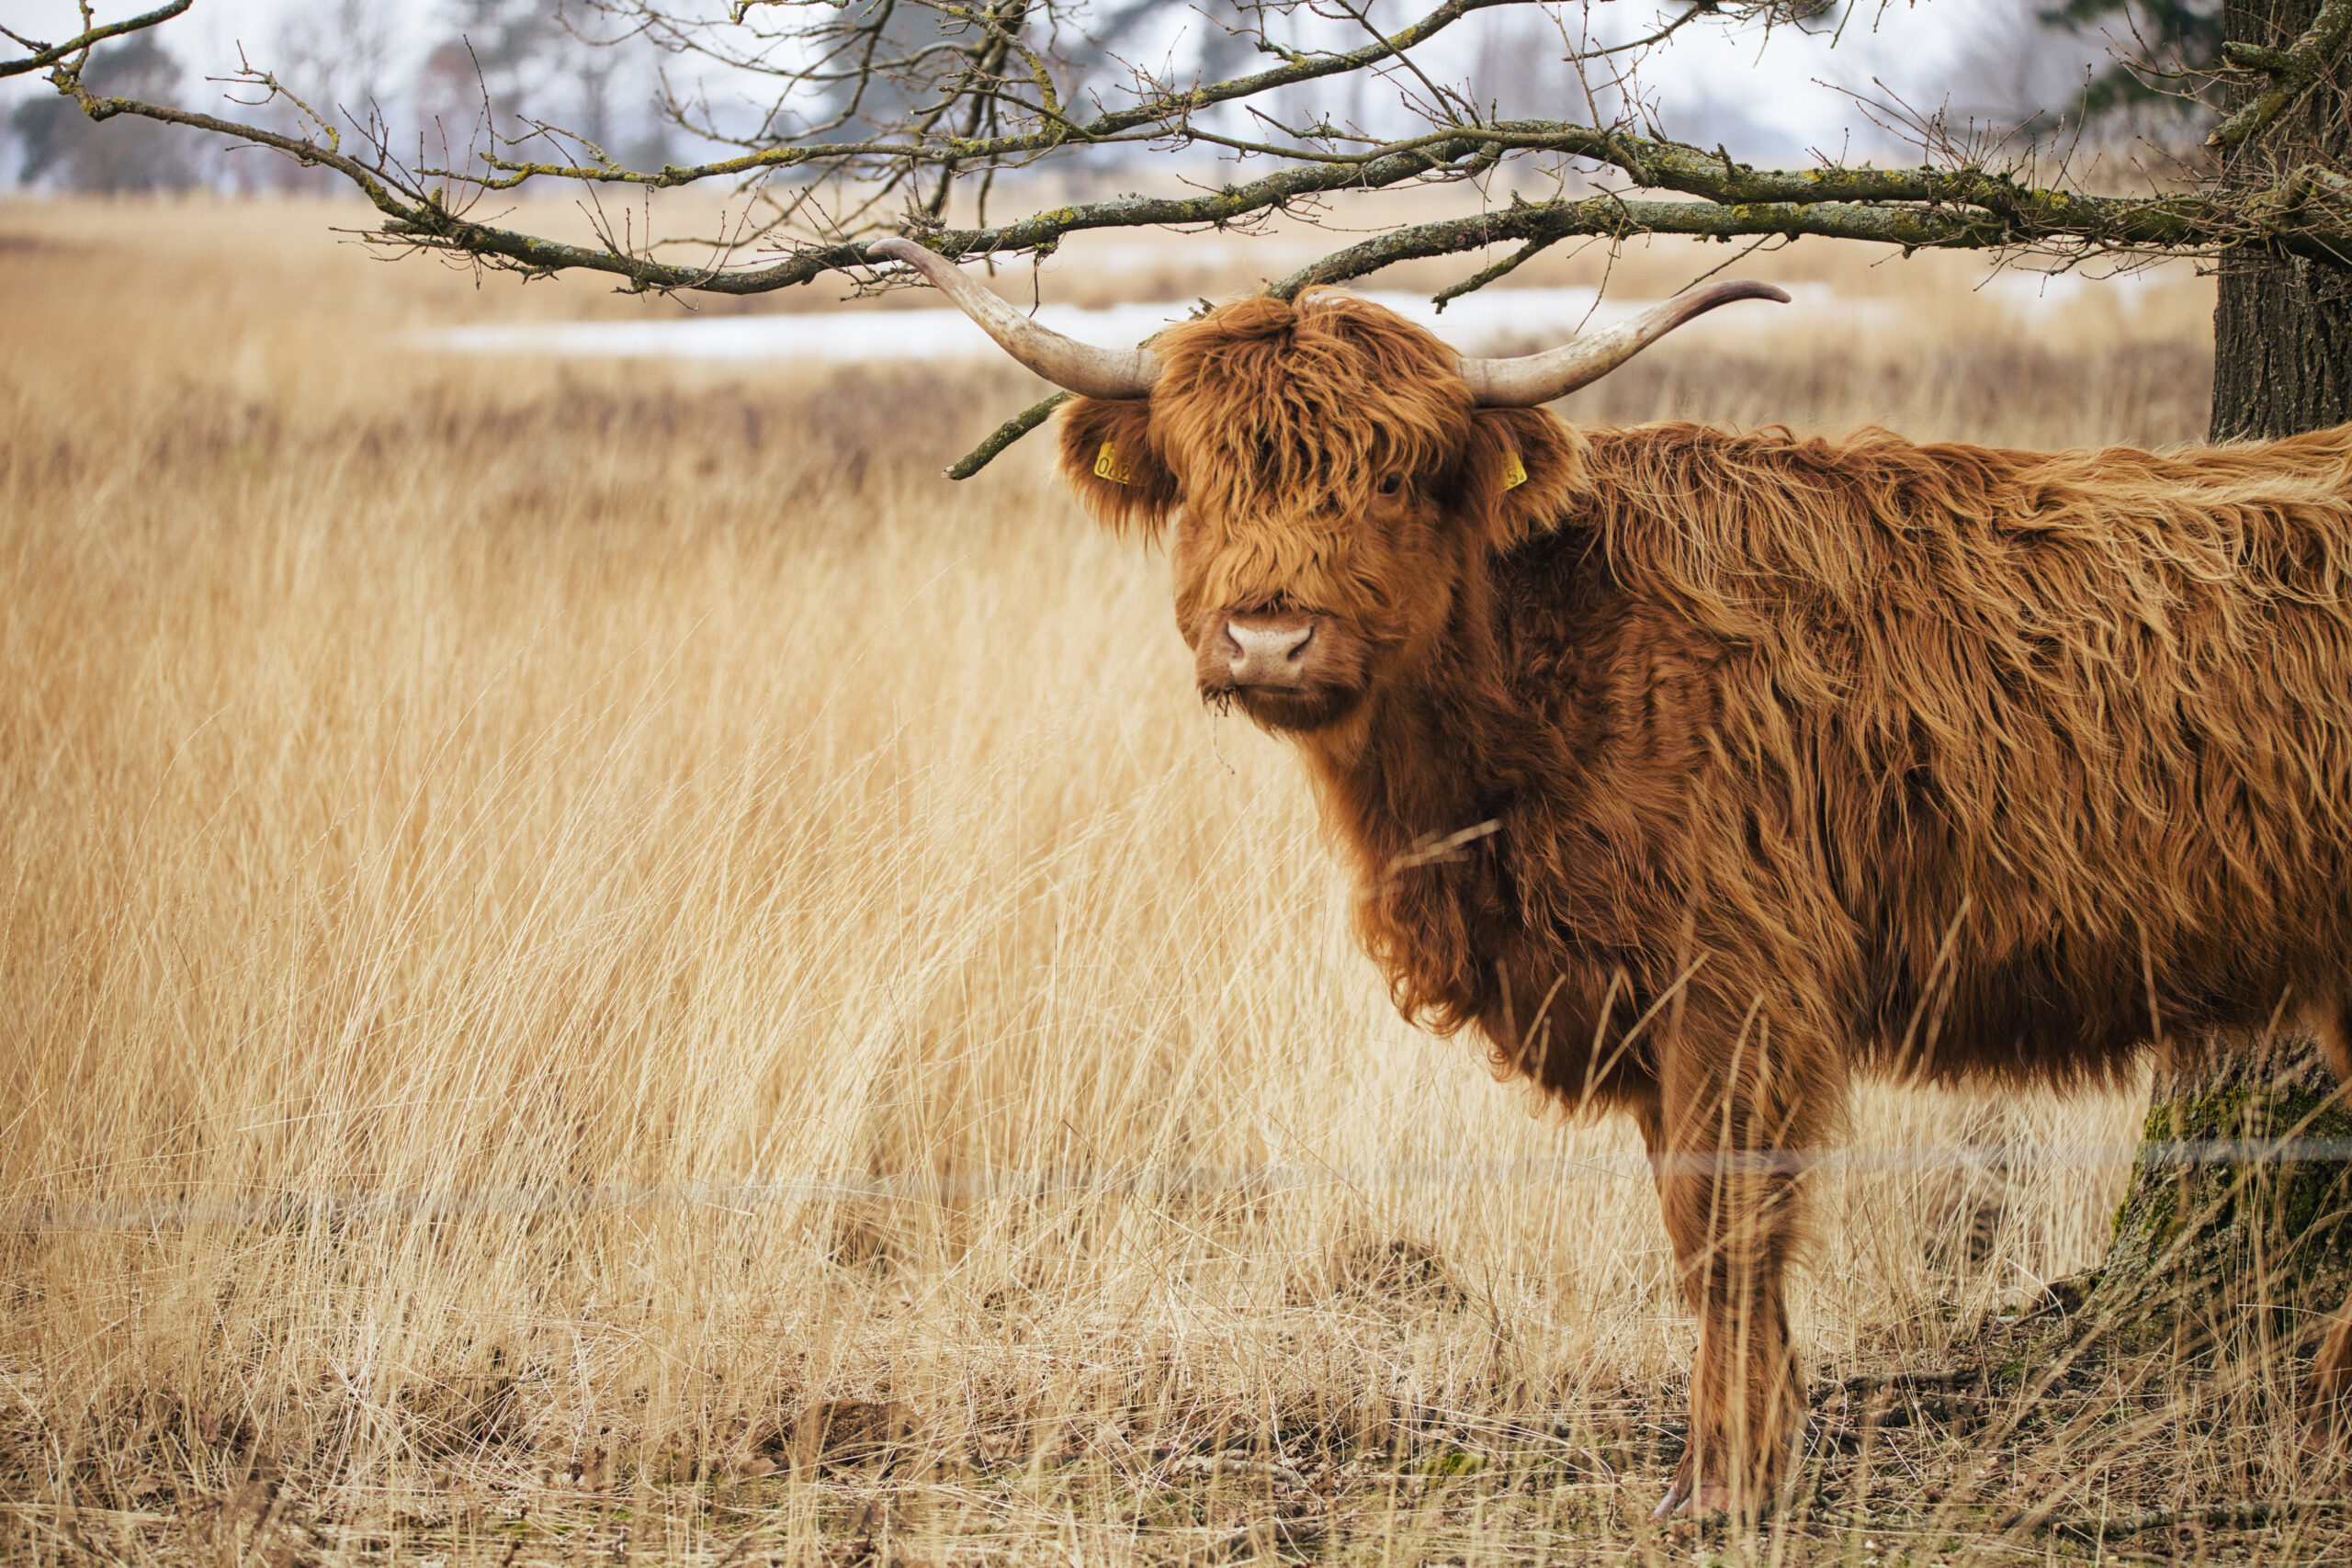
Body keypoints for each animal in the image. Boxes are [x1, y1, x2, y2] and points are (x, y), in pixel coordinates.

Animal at [879, 240, 2352, 1514]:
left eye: (1396, 478)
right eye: (1201, 475)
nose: (1269, 635)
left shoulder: (1741, 979)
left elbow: (1722, 1222)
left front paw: (1725, 1479)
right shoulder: (1647, 998)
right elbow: (1689, 1226)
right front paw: (1759, 1449)